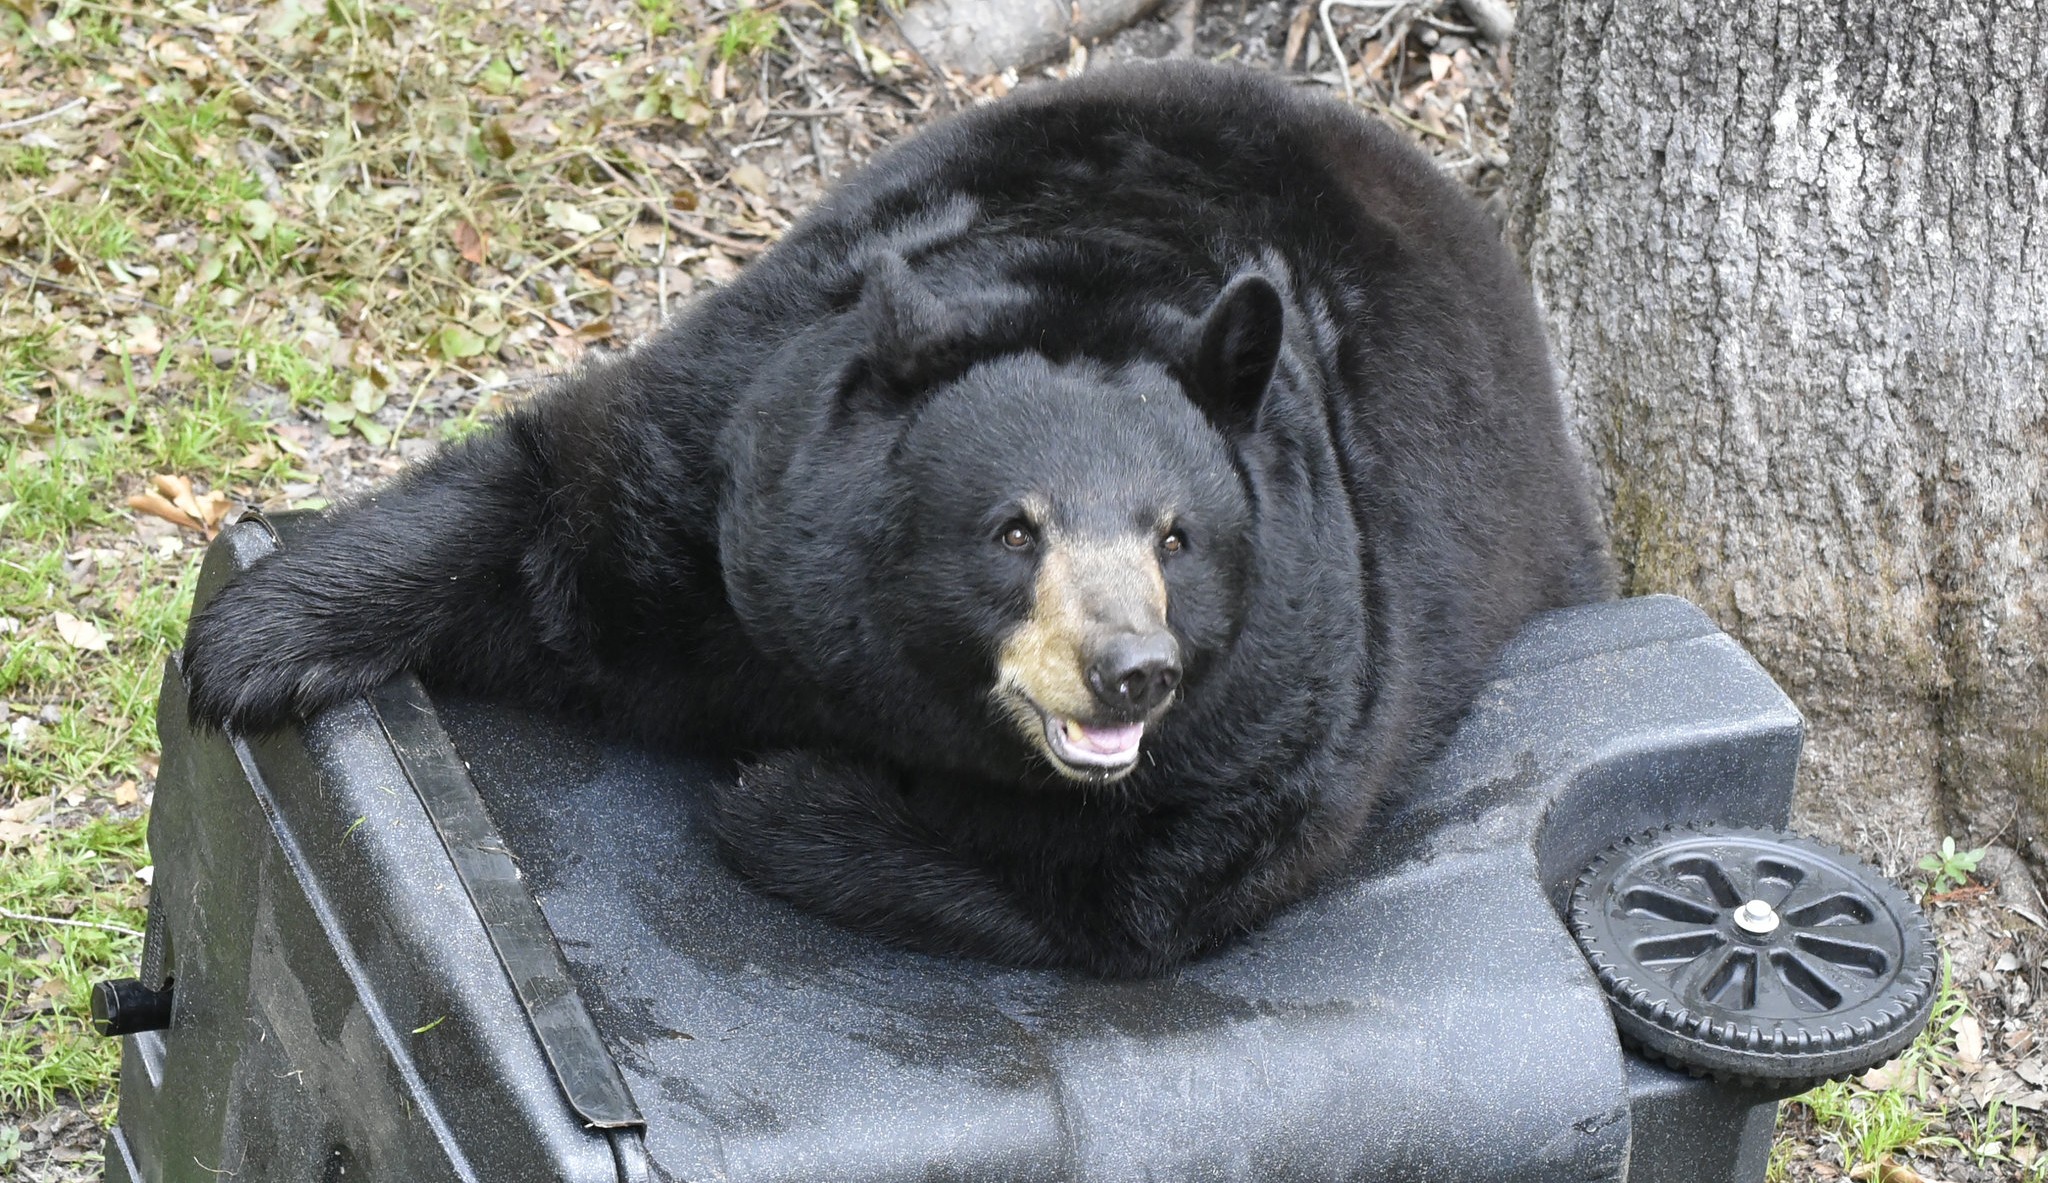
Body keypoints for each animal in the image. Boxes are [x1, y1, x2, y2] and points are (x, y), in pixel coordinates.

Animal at [181, 61, 1614, 978]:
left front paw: (787, 791)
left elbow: (1136, 890)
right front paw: (251, 642)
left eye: (1176, 536)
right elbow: (558, 509)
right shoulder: (732, 481)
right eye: (1013, 530)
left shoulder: (1308, 659)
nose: (1130, 671)